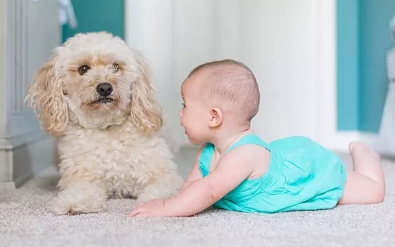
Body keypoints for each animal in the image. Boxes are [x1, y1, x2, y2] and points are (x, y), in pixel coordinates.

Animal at [25, 31, 185, 215]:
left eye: (116, 66)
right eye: (83, 69)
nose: (105, 88)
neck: (106, 126)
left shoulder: (163, 175)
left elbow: (161, 189)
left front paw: (156, 204)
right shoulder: (83, 177)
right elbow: (82, 191)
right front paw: (74, 202)